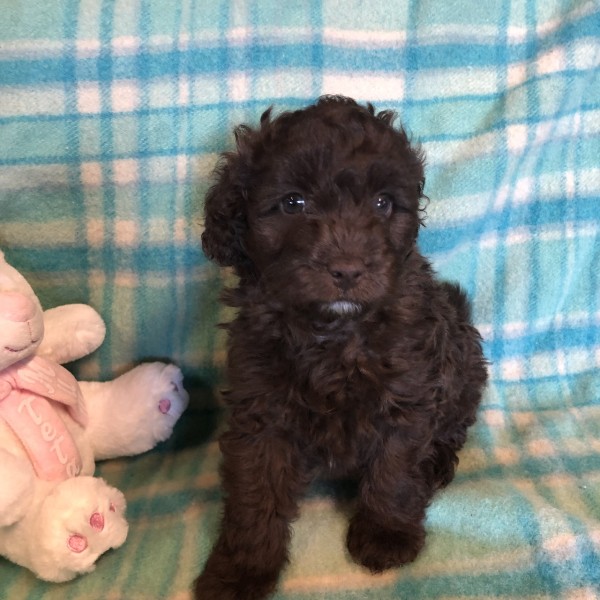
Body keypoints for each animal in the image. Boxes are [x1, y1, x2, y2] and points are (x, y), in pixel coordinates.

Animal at [196, 96, 488, 596]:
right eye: (293, 203)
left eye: (383, 203)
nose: (348, 269)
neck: (332, 331)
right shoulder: (261, 407)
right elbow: (255, 491)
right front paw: (241, 570)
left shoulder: (406, 395)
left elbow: (396, 470)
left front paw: (386, 535)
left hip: (465, 367)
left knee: (453, 425)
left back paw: (437, 463)